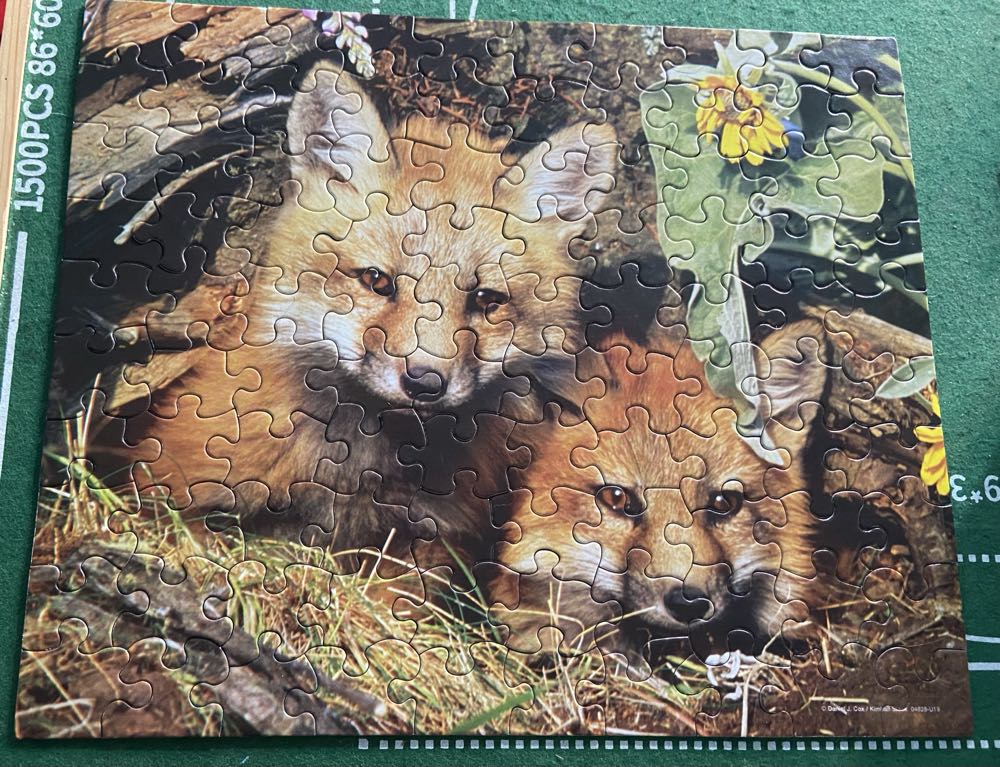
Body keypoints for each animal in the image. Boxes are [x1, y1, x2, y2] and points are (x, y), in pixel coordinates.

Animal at [101, 63, 616, 574]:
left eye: (487, 300)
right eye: (377, 281)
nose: (425, 383)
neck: (355, 472)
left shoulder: (426, 548)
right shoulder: (174, 483)